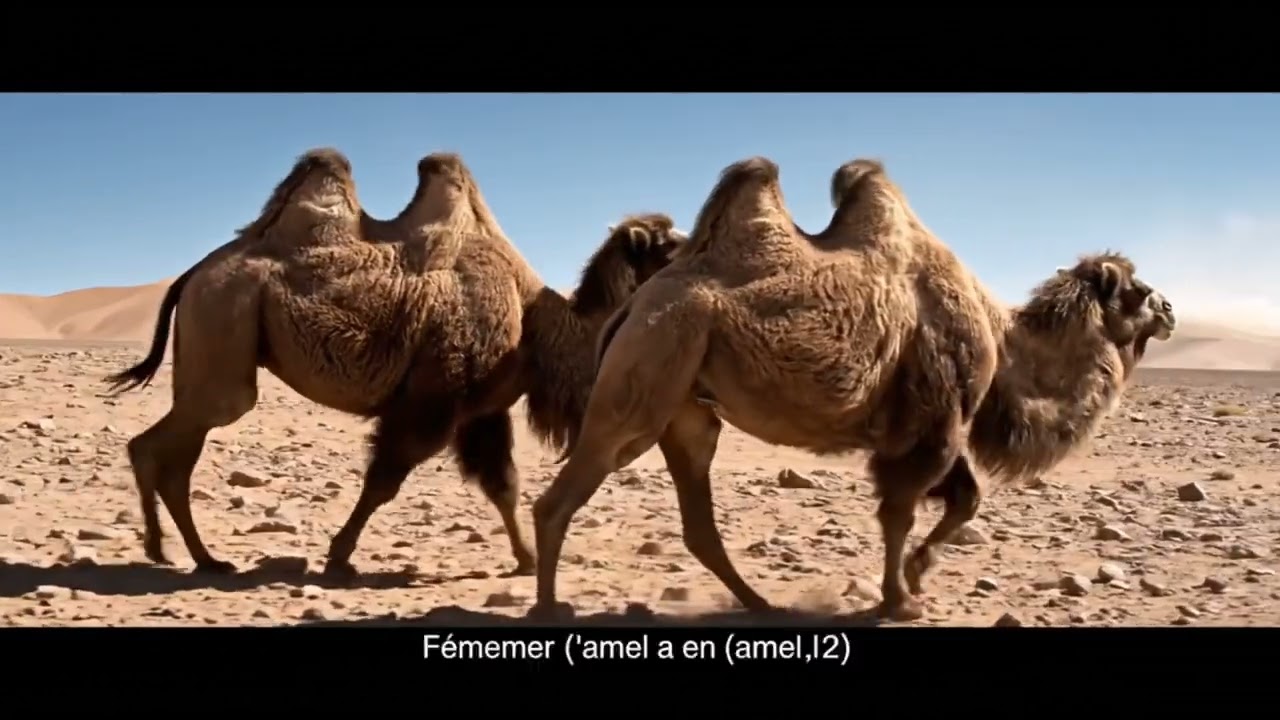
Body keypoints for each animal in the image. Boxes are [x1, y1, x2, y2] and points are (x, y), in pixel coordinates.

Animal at [102, 147, 686, 580]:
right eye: (670, 246)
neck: (533, 323)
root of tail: (193, 272)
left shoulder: (482, 412)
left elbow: (502, 484)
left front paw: (525, 559)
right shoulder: (433, 397)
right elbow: (385, 481)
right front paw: (339, 558)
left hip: (216, 345)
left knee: (174, 454)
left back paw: (197, 557)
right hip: (224, 330)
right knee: (164, 443)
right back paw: (174, 552)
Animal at [528, 155, 1177, 622]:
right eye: (1138, 291)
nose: (1170, 309)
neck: (1000, 337)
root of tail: (632, 306)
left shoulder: (922, 426)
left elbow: (963, 499)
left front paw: (914, 575)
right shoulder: (934, 419)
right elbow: (901, 512)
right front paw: (901, 598)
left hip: (686, 408)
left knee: (698, 519)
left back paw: (763, 603)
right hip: (648, 371)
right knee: (563, 495)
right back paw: (548, 607)